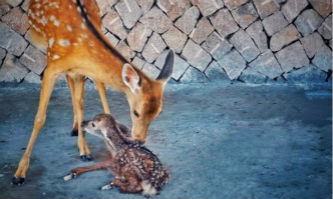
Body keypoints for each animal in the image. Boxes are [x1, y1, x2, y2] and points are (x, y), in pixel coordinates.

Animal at [12, 0, 174, 185]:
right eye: (136, 112)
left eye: (158, 113)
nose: (140, 140)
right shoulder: (52, 66)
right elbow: (40, 118)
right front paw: (19, 173)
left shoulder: (82, 67)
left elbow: (83, 100)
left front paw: (85, 150)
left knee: (88, 89)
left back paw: (77, 129)